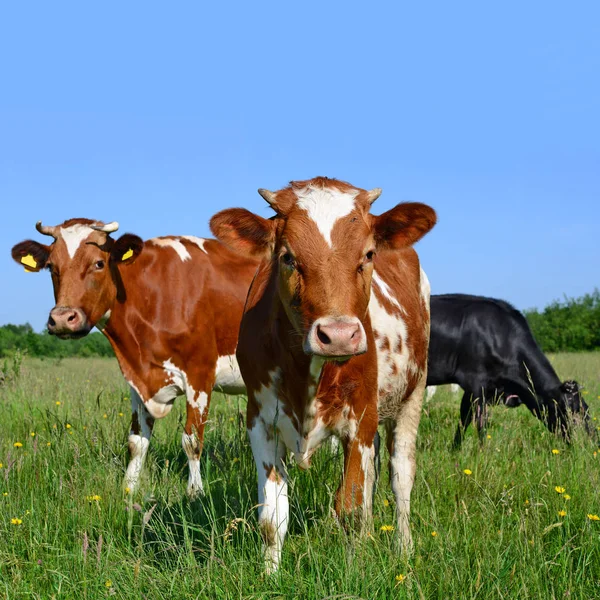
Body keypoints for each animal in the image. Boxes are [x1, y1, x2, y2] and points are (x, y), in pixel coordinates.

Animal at [9, 220, 258, 496]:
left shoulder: (199, 374)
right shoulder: (137, 378)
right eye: (52, 266)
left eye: (99, 263)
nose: (63, 318)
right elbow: (136, 441)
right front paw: (128, 488)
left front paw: (195, 492)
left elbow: (191, 441)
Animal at [211, 176, 436, 568]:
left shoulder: (360, 417)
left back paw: (404, 548)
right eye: (287, 257)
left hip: (412, 396)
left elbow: (352, 509)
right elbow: (272, 516)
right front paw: (269, 573)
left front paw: (356, 570)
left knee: (401, 478)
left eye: (368, 254)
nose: (339, 335)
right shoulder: (260, 420)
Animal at [426, 296, 592, 446]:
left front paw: (455, 449)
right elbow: (480, 422)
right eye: (568, 410)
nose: (584, 444)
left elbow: (464, 417)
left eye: (586, 409)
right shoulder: (476, 382)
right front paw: (481, 453)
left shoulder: (478, 389)